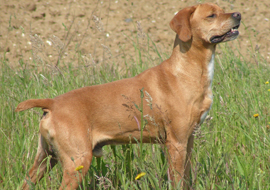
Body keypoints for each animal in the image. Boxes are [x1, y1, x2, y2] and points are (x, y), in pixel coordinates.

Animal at [16, 2, 240, 189]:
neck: (187, 69)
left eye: (222, 9)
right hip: (77, 161)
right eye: (211, 15)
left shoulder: (189, 139)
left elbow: (187, 178)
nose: (238, 14)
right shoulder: (176, 143)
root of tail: (52, 103)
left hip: (44, 160)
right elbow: (177, 181)